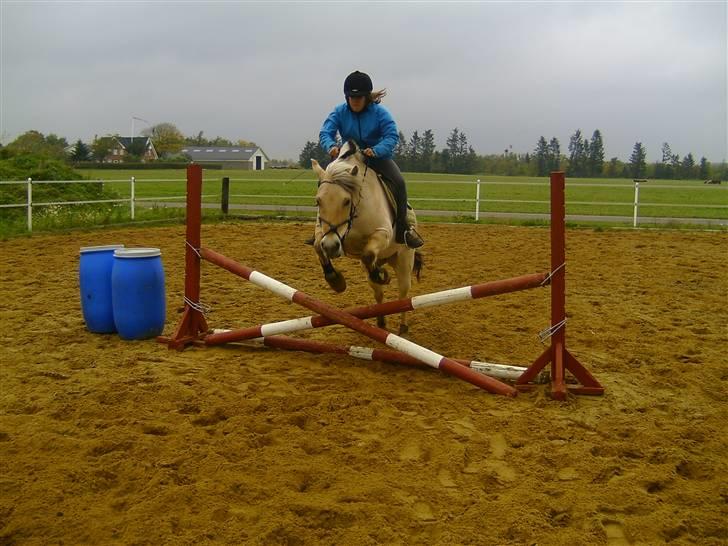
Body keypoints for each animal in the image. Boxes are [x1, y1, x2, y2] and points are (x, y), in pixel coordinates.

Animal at [312, 140, 424, 334]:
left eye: (346, 201)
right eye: (318, 201)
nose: (332, 247)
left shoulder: (383, 233)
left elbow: (368, 253)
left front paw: (381, 275)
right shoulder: (324, 233)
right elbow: (319, 246)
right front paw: (335, 280)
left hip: (404, 259)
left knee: (403, 295)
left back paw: (402, 327)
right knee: (378, 293)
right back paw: (380, 321)